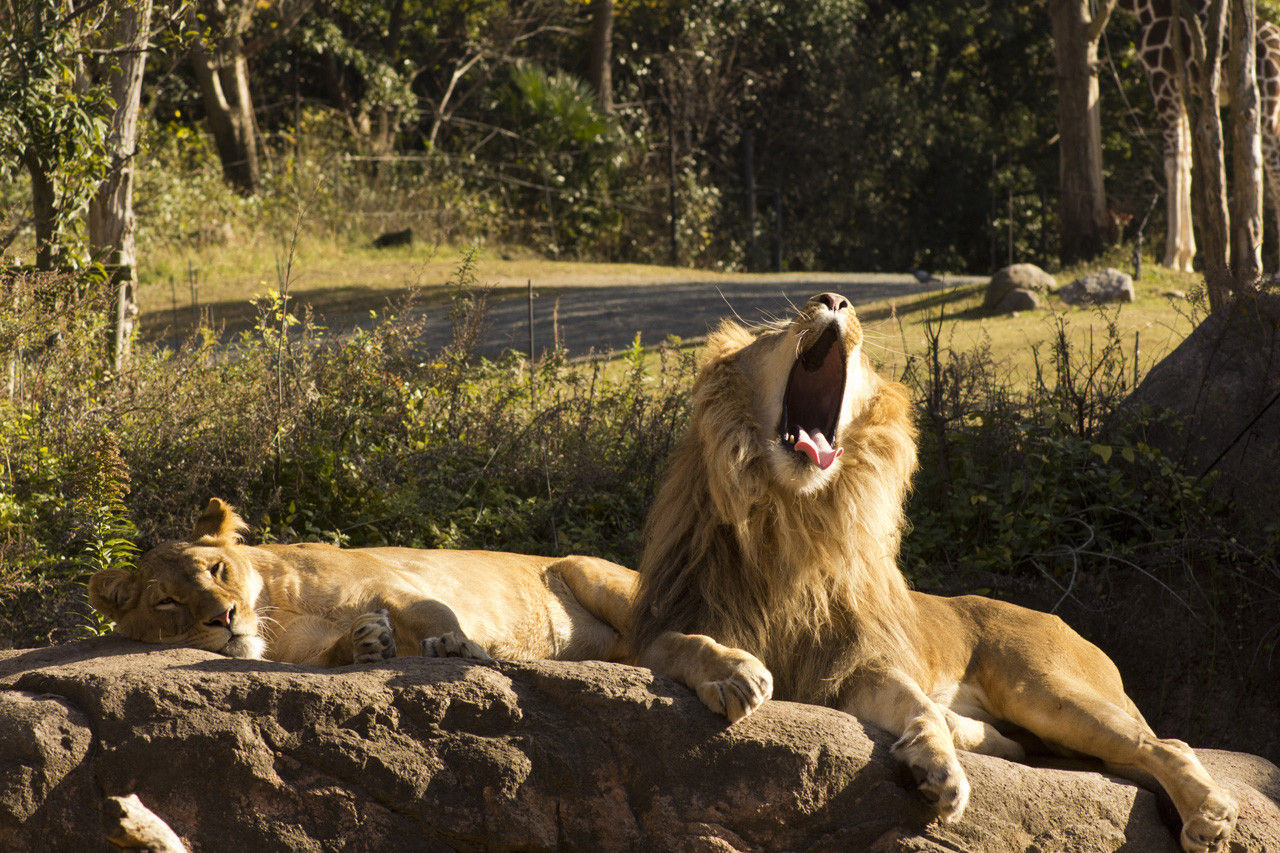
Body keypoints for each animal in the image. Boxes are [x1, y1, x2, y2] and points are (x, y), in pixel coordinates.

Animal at [90, 498, 637, 667]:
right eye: (167, 602)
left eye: (216, 570)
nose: (224, 618)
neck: (277, 606)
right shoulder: (300, 650)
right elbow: (330, 655)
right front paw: (366, 642)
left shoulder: (392, 585)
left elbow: (433, 612)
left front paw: (458, 644)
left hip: (588, 569)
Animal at [628, 292, 1237, 853]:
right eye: (775, 330)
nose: (834, 300)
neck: (795, 517)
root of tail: (1066, 623)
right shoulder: (656, 631)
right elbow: (687, 643)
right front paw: (734, 673)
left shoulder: (858, 664)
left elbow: (915, 704)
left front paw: (942, 770)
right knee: (1032, 745)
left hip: (1046, 690)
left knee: (1165, 745)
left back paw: (1210, 818)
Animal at [1121, 0, 1280, 272]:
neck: (1144, 8)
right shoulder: (1185, 92)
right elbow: (1188, 163)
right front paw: (1186, 259)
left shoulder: (1163, 81)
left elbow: (1172, 164)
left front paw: (1172, 257)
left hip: (1267, 107)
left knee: (1272, 169)